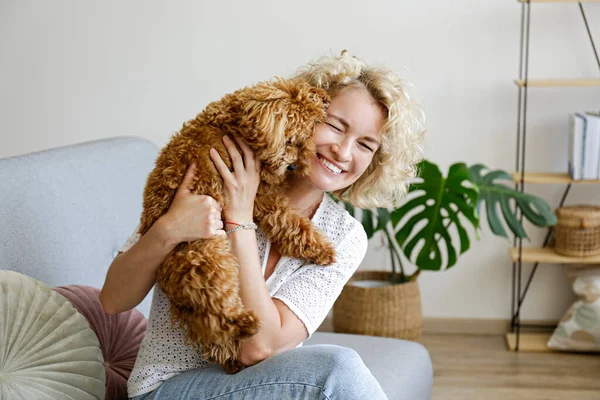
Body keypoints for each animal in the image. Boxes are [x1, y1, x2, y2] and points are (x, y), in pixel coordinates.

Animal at [138, 79, 338, 376]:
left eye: (307, 137)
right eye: (291, 140)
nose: (294, 165)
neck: (233, 126)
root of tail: (167, 276)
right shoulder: (259, 192)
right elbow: (287, 219)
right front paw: (322, 248)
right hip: (206, 254)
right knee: (214, 307)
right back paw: (243, 323)